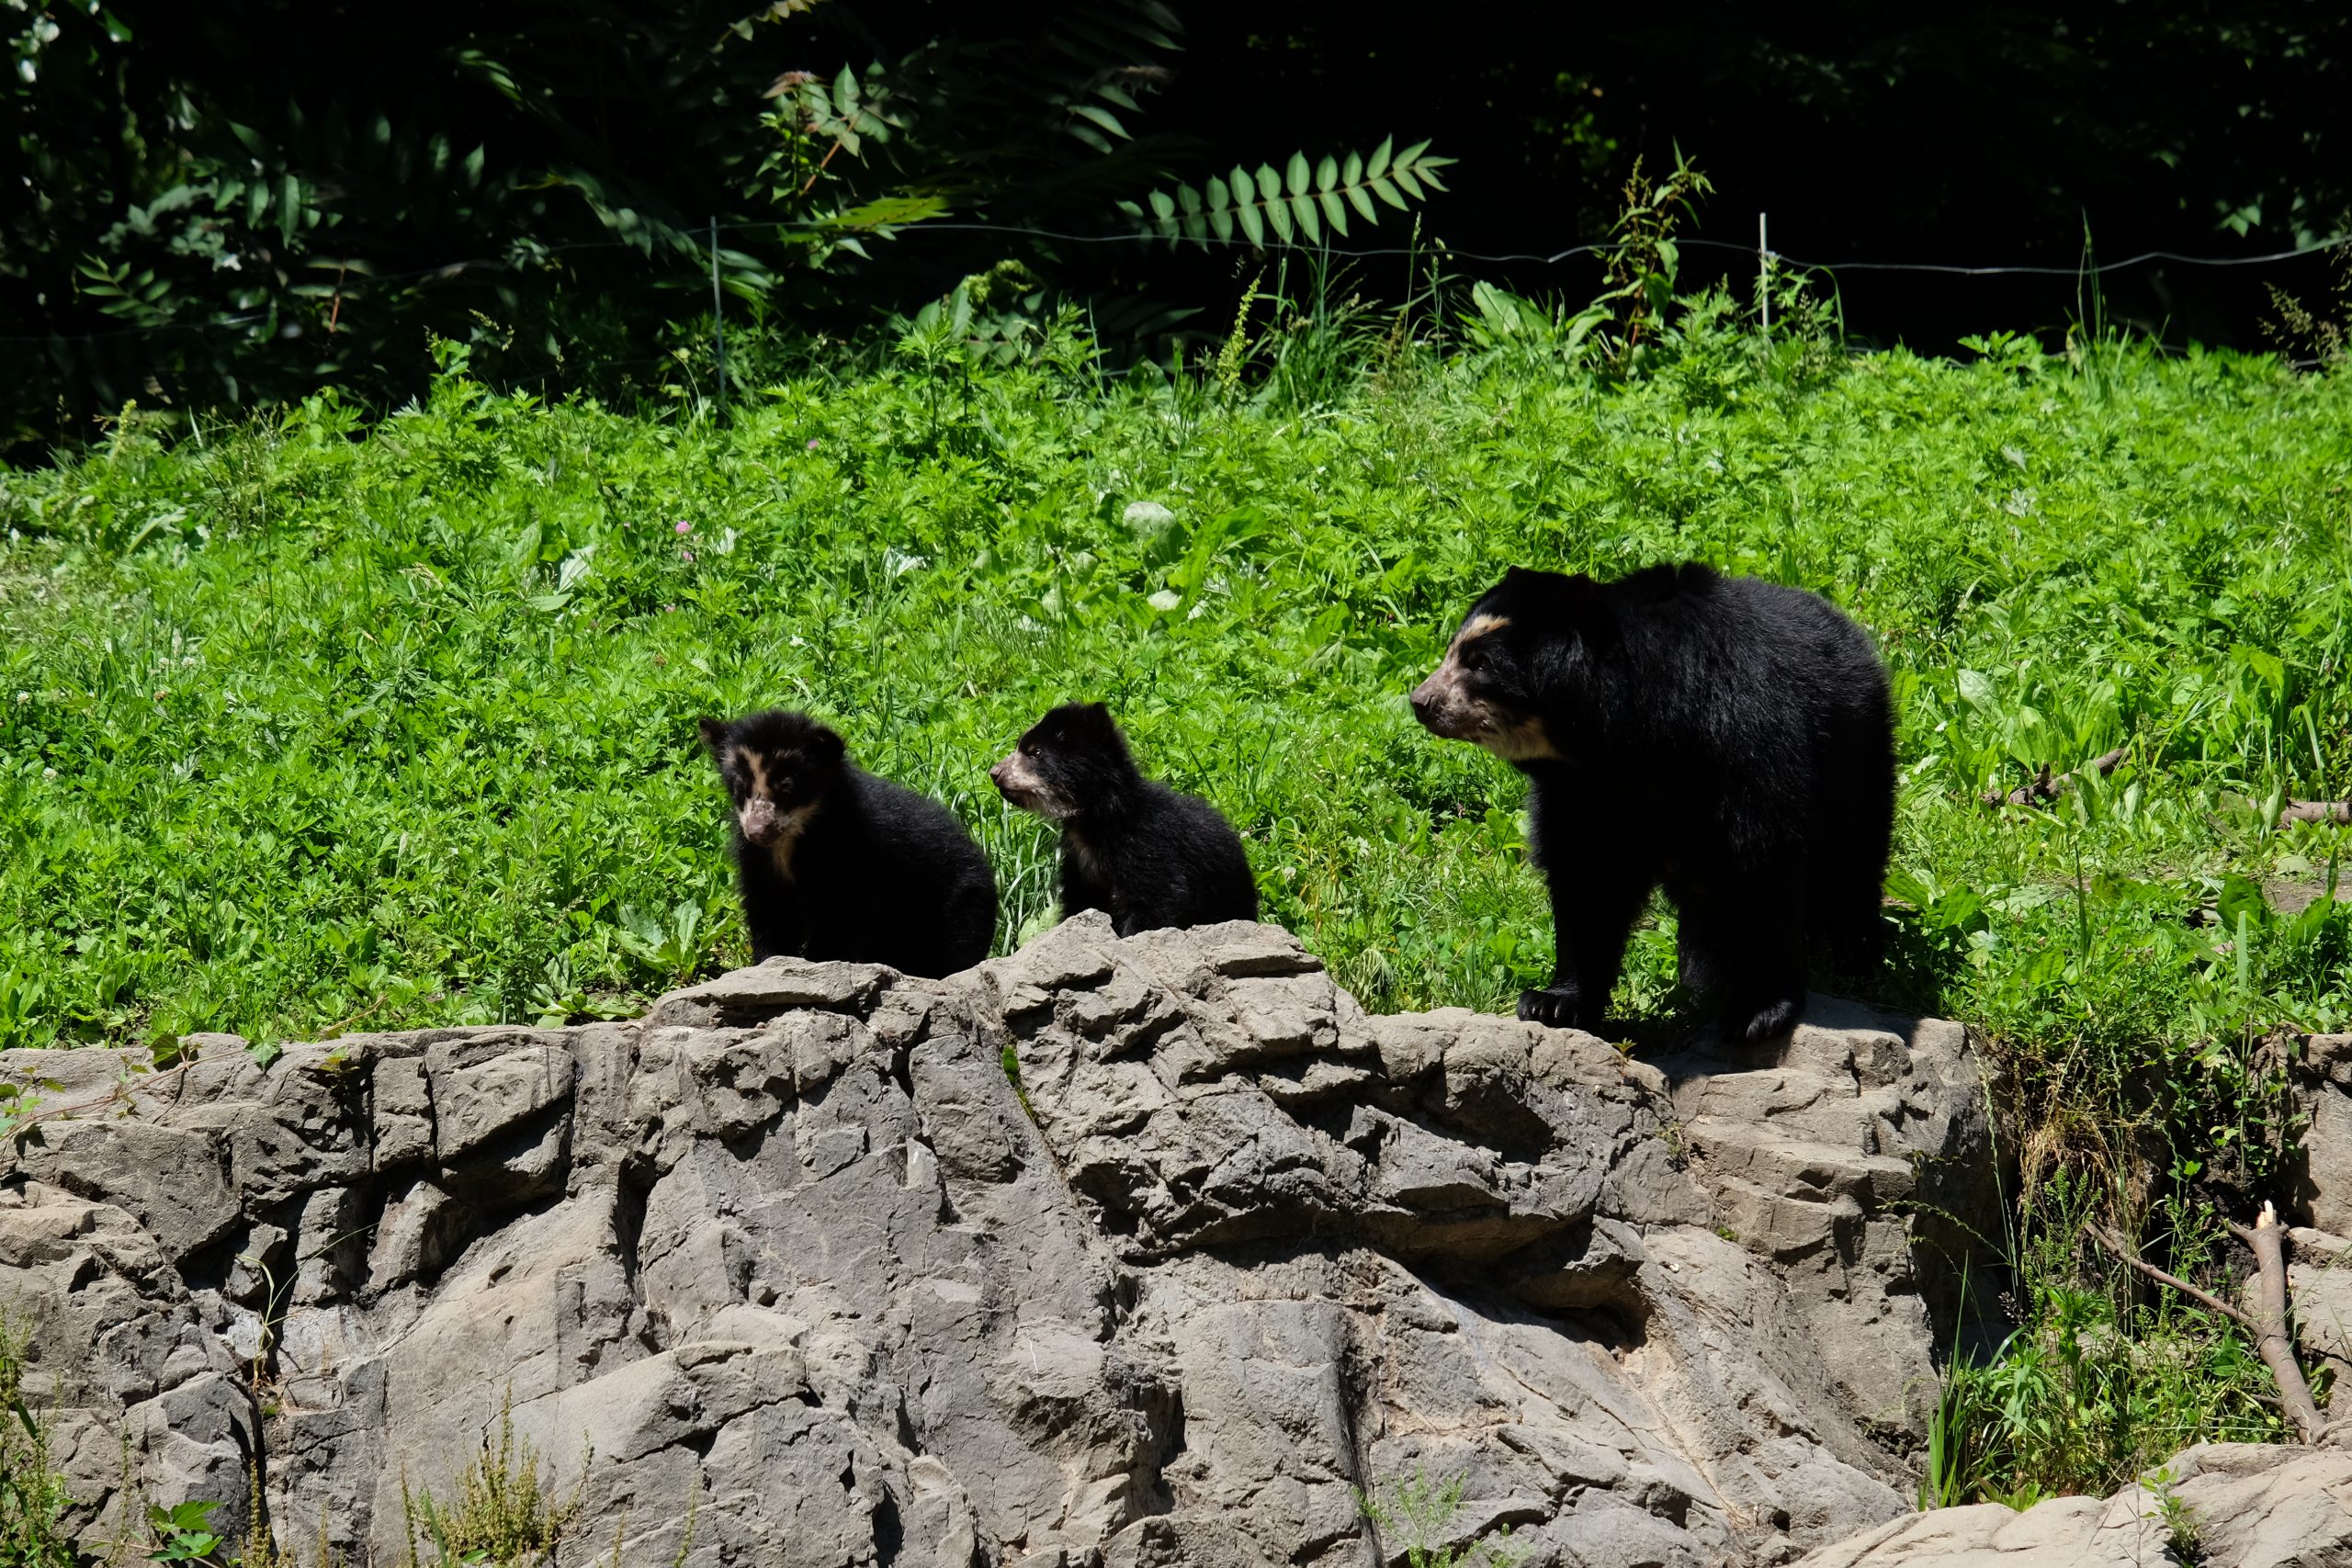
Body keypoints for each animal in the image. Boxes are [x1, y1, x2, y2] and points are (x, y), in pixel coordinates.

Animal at [699, 709, 997, 977]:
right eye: (740, 790)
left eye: (786, 789)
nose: (758, 832)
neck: (794, 837)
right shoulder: (757, 859)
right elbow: (771, 911)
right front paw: (769, 962)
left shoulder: (849, 847)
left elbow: (842, 914)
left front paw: (820, 963)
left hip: (955, 907)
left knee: (953, 951)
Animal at [988, 702, 1259, 937]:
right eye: (1021, 746)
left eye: (1035, 752)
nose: (995, 773)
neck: (1095, 822)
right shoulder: (1080, 865)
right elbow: (1079, 903)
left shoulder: (1147, 847)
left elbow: (1156, 901)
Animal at [1408, 562, 1894, 1042]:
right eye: (1453, 649)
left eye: (1480, 663)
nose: (1421, 701)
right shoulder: (1583, 789)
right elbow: (1588, 874)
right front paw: (1554, 1003)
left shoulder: (1748, 741)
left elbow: (1760, 864)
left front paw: (1756, 1012)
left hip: (1855, 749)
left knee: (1850, 855)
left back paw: (1852, 955)